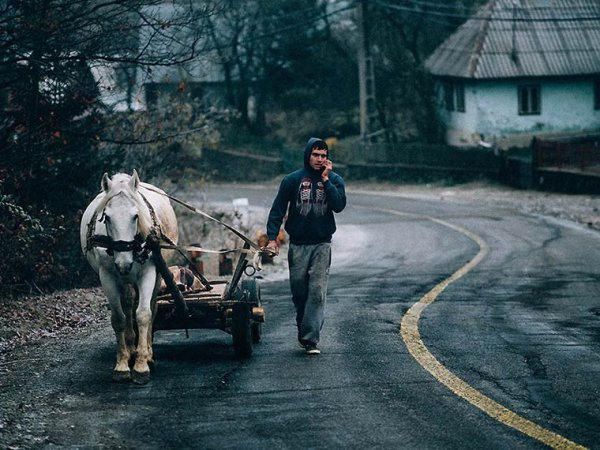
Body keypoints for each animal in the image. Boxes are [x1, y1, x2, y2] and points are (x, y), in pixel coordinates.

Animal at [81, 171, 177, 384]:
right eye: (107, 217)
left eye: (136, 216)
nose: (124, 263)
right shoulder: (107, 275)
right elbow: (118, 317)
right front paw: (123, 364)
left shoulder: (149, 272)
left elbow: (143, 314)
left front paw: (142, 364)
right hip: (123, 280)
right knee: (127, 304)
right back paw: (131, 346)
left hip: (158, 274)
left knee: (151, 307)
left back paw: (147, 352)